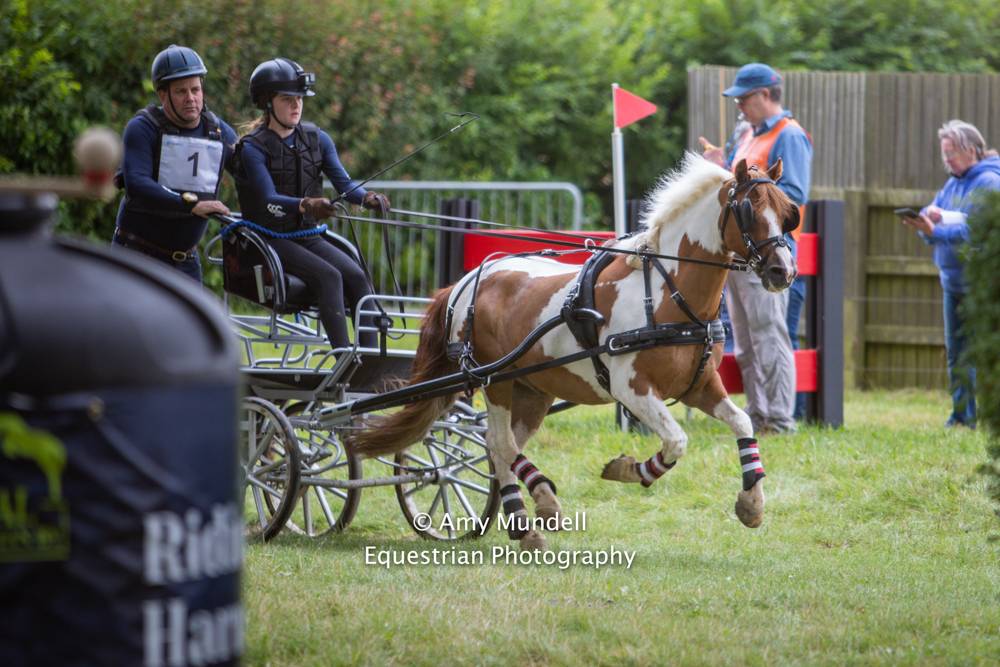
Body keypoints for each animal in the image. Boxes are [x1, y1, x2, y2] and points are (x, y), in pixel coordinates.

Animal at [348, 154, 800, 552]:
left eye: (787, 212)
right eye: (749, 210)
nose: (783, 272)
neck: (667, 294)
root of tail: (466, 281)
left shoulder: (701, 385)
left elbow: (742, 422)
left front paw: (751, 503)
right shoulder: (632, 389)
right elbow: (676, 441)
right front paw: (629, 470)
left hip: (533, 391)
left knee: (502, 448)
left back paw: (535, 510)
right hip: (494, 382)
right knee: (499, 443)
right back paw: (530, 518)